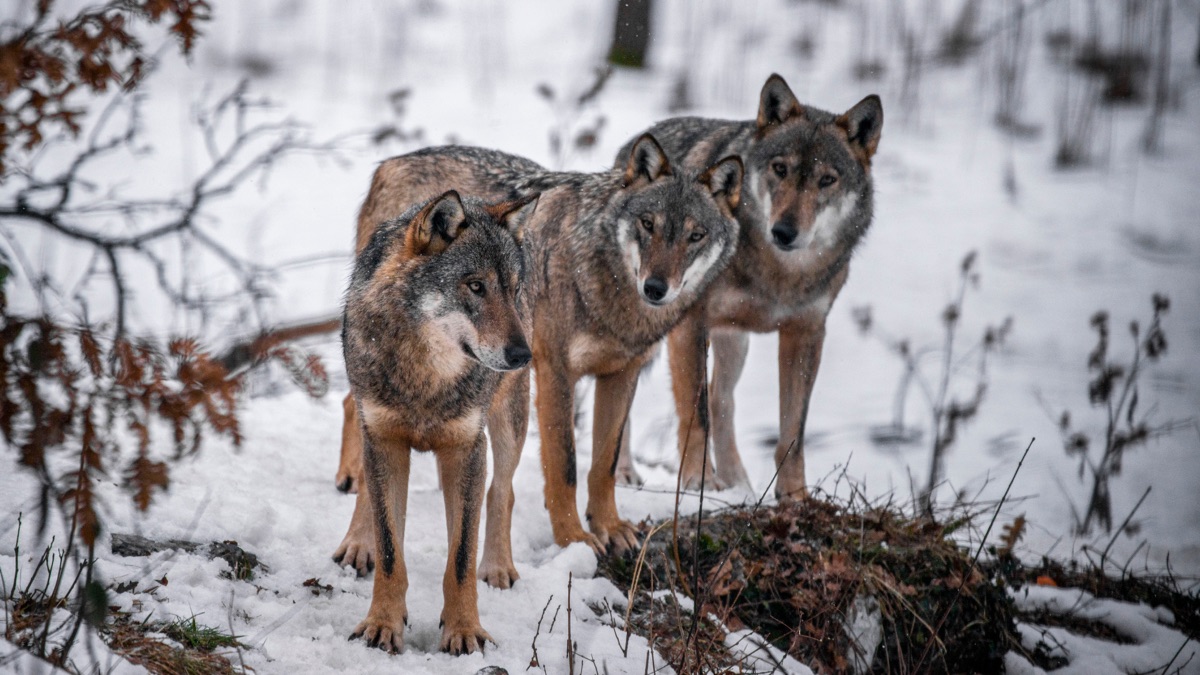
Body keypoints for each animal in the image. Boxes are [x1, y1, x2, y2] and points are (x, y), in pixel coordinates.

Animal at [333, 138, 744, 586]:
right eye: (648, 224)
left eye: (695, 236)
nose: (655, 287)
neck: (605, 288)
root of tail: (393, 161)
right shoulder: (555, 372)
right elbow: (565, 465)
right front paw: (574, 538)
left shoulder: (623, 372)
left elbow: (604, 462)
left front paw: (610, 527)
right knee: (357, 416)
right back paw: (355, 514)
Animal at [341, 189, 536, 654]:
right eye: (476, 286)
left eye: (513, 289)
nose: (523, 355)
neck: (425, 377)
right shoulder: (384, 440)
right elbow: (390, 550)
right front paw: (382, 625)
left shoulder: (466, 449)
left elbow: (462, 557)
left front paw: (465, 631)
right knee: (367, 493)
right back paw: (358, 544)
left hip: (508, 424)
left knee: (502, 491)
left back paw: (498, 566)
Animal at [613, 74, 883, 500]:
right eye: (780, 168)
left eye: (827, 180)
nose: (784, 231)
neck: (777, 275)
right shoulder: (690, 326)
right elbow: (695, 414)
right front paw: (699, 483)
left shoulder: (806, 333)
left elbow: (792, 431)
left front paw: (794, 497)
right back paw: (624, 473)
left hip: (733, 344)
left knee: (722, 400)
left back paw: (737, 483)